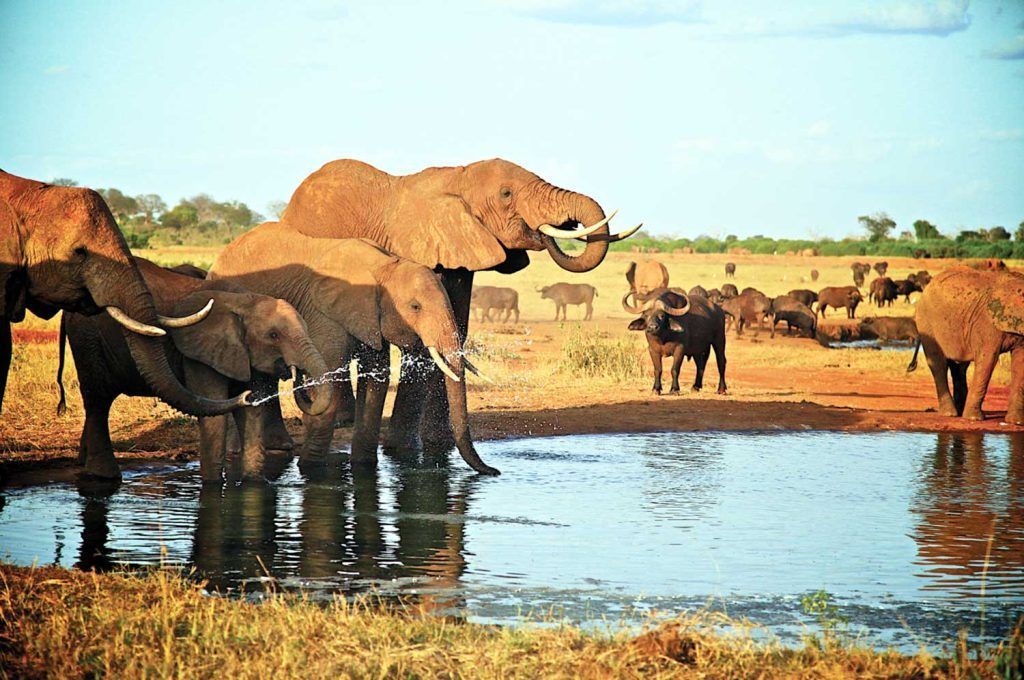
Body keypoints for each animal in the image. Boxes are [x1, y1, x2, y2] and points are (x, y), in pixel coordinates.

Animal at [57, 258, 332, 480]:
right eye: (274, 335)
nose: (296, 372)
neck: (246, 301)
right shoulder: (200, 353)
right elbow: (215, 417)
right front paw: (212, 487)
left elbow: (253, 414)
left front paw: (254, 484)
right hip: (87, 339)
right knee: (98, 399)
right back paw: (103, 476)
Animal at [209, 222, 500, 475]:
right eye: (415, 307)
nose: (494, 472)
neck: (384, 266)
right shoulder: (325, 312)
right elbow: (328, 376)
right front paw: (310, 469)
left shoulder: (371, 316)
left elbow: (376, 381)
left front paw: (364, 467)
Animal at [276, 158, 639, 453]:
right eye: (506, 194)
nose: (558, 228)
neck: (456, 178)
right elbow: (420, 340)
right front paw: (403, 451)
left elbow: (456, 330)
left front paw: (440, 445)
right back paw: (341, 421)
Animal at [908, 267, 1024, 424]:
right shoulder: (986, 324)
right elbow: (987, 360)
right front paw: (974, 418)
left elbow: (1020, 363)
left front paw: (1016, 421)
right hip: (926, 323)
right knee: (938, 364)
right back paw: (950, 414)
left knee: (959, 367)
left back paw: (959, 411)